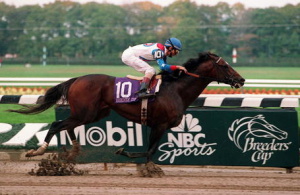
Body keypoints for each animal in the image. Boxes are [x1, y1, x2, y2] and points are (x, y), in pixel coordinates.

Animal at [8, 51, 245, 177]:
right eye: (225, 65)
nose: (241, 80)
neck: (175, 90)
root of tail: (76, 79)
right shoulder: (159, 125)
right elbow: (149, 150)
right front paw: (145, 166)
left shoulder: (159, 126)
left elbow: (150, 149)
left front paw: (137, 160)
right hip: (86, 113)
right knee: (57, 125)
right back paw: (39, 151)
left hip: (94, 114)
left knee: (68, 126)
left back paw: (72, 153)